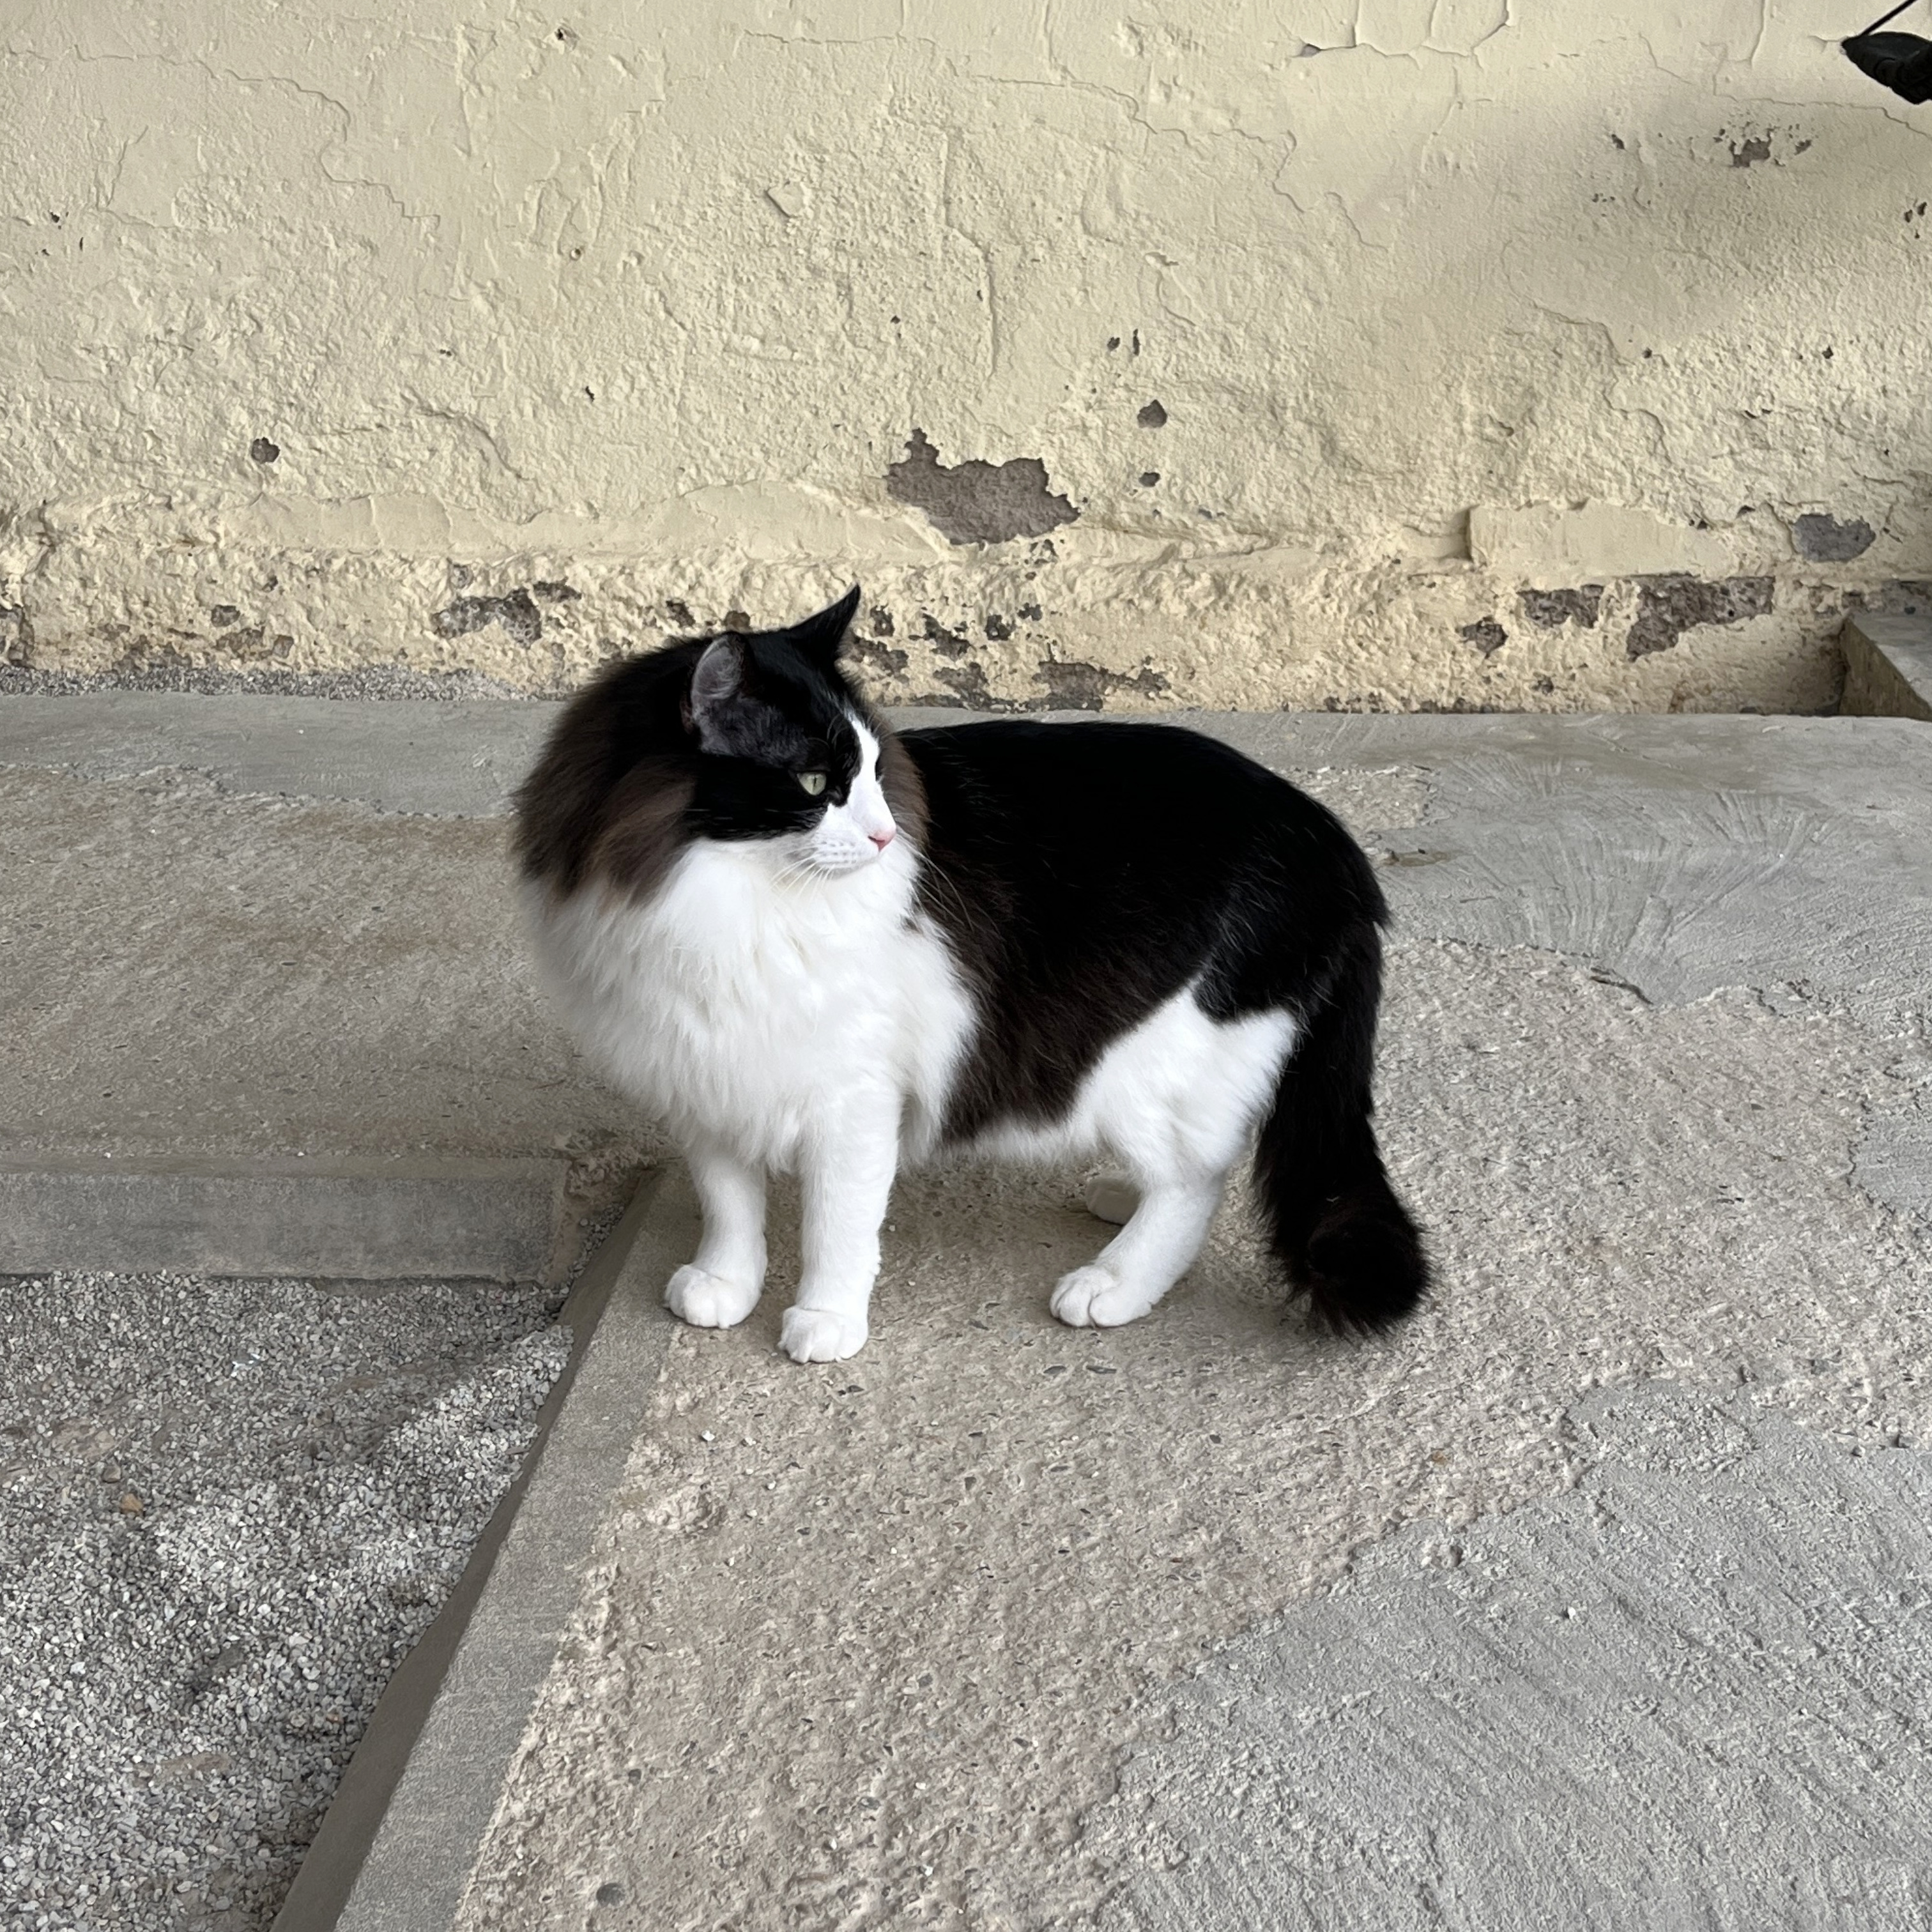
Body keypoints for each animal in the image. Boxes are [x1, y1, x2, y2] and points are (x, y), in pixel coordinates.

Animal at [515, 587, 1428, 1363]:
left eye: (872, 773)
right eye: (816, 783)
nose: (886, 836)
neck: (731, 901)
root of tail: (1328, 834)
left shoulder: (854, 1097)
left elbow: (837, 1225)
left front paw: (826, 1318)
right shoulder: (705, 1075)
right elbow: (728, 1203)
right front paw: (726, 1284)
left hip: (1156, 1055)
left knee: (1195, 1178)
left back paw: (1116, 1280)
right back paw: (1117, 1195)